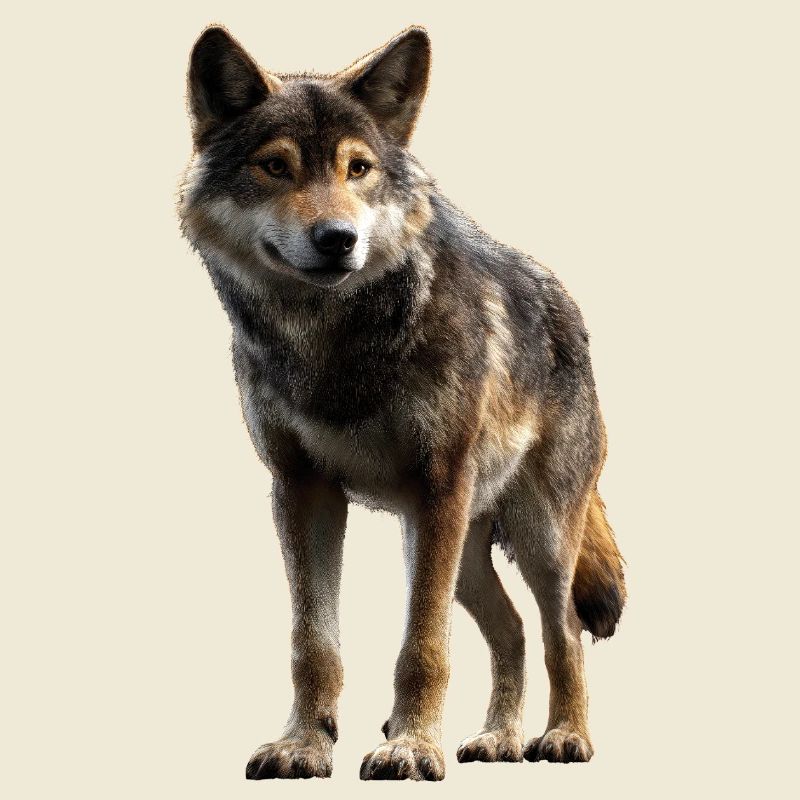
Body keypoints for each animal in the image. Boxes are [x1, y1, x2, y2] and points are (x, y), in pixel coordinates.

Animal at [179, 25, 626, 781]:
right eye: (276, 167)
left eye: (358, 168)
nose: (338, 239)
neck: (333, 341)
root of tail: (568, 306)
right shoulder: (301, 490)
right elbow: (313, 644)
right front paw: (304, 745)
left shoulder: (437, 486)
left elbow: (423, 646)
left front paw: (411, 747)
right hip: (460, 551)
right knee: (510, 632)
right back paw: (497, 739)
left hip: (531, 536)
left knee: (560, 630)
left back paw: (564, 737)